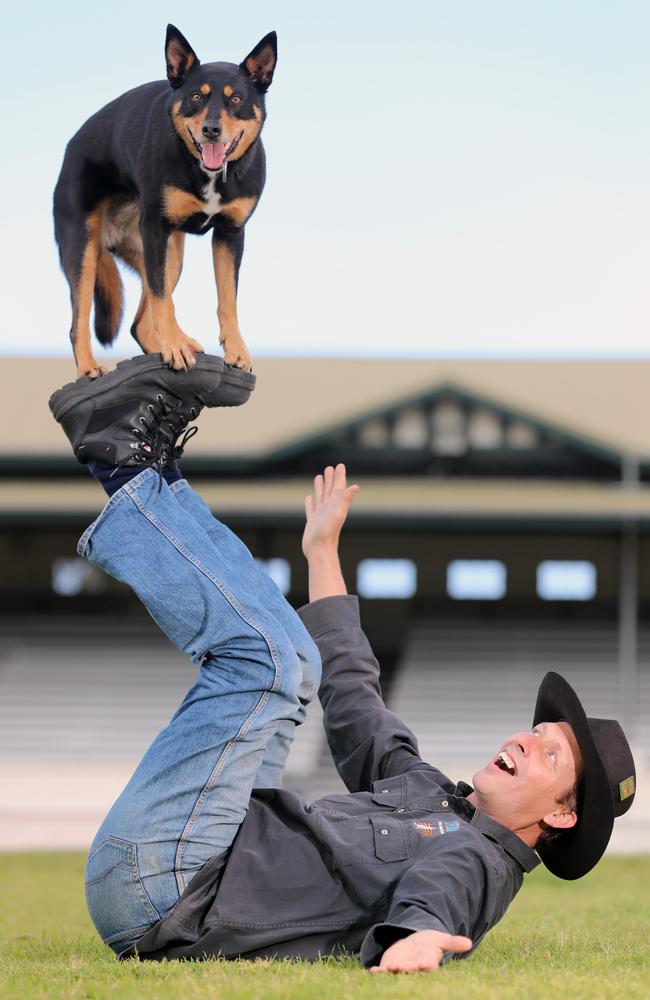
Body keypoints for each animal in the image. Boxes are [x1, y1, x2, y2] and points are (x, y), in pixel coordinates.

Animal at [55, 27, 276, 380]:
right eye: (196, 97)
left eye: (236, 99)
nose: (211, 129)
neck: (207, 172)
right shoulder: (156, 230)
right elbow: (163, 299)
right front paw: (174, 345)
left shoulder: (230, 234)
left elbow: (227, 299)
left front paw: (236, 351)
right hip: (86, 248)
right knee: (80, 324)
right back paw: (92, 368)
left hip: (168, 253)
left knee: (141, 324)